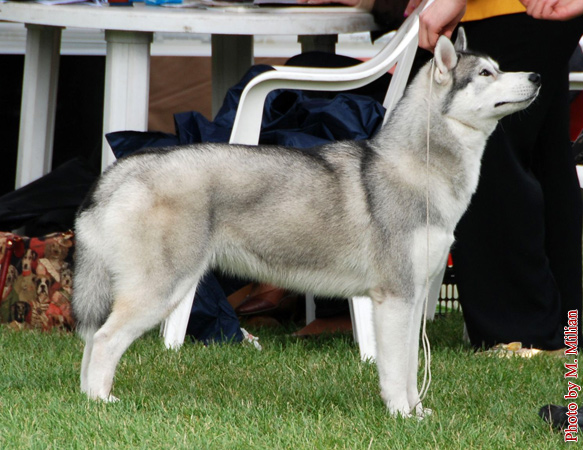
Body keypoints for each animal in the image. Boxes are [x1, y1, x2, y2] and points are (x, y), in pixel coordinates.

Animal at [72, 29, 540, 417]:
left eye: (499, 67)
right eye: (486, 73)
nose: (536, 75)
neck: (419, 169)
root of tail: (125, 168)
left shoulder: (413, 297)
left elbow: (409, 370)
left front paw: (418, 413)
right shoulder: (395, 297)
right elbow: (395, 372)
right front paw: (402, 417)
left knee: (92, 342)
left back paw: (87, 396)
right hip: (160, 290)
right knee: (105, 340)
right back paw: (100, 402)